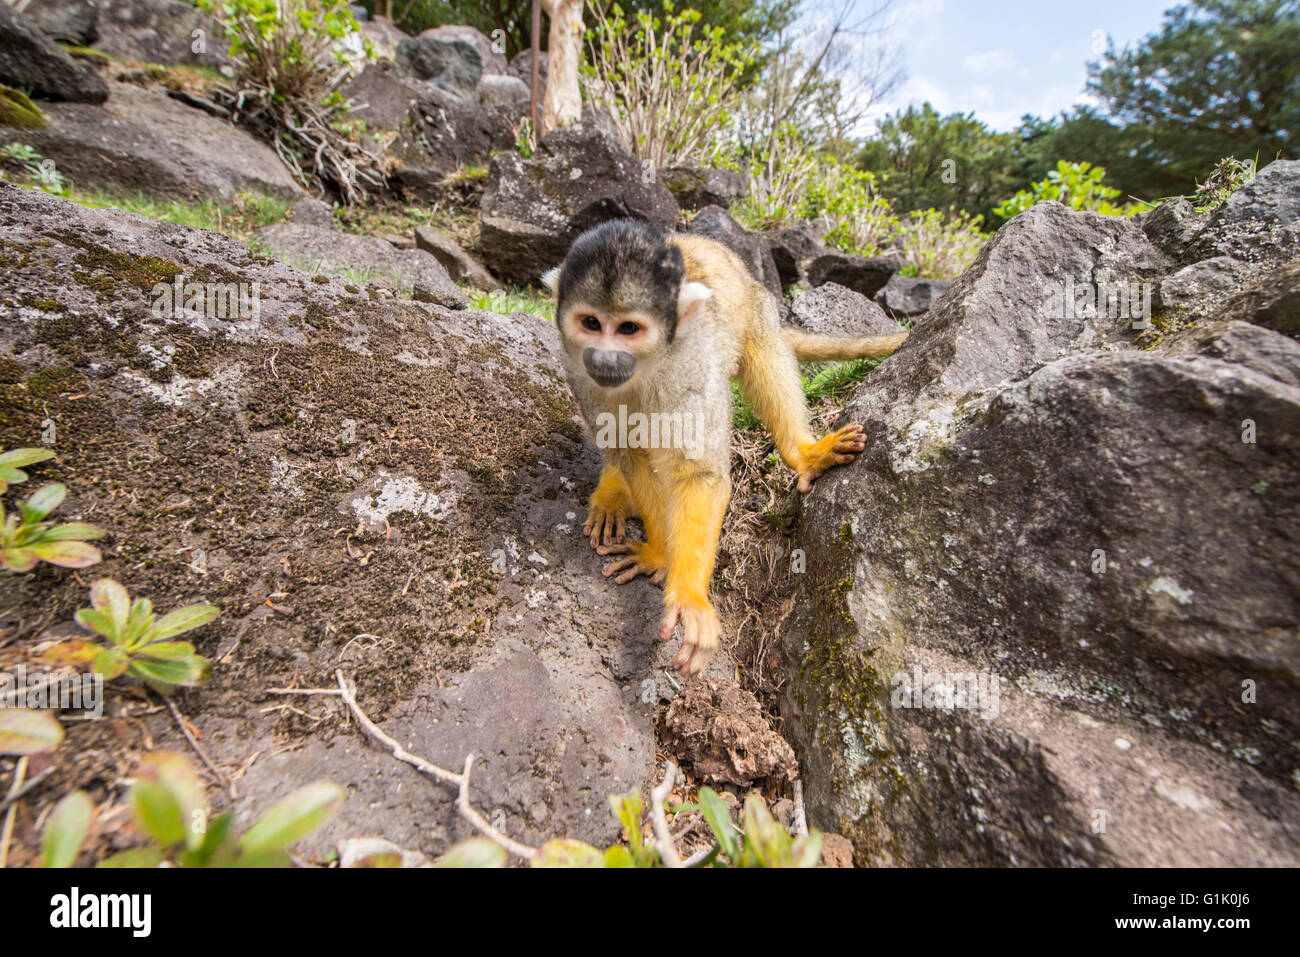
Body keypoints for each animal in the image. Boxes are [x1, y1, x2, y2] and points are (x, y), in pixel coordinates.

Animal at [543, 219, 909, 676]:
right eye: (591, 323)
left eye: (629, 329)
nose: (606, 359)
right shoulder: (581, 375)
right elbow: (630, 454)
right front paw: (660, 552)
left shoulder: (690, 367)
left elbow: (697, 472)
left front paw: (687, 595)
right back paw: (612, 491)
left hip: (757, 309)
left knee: (761, 352)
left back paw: (803, 452)